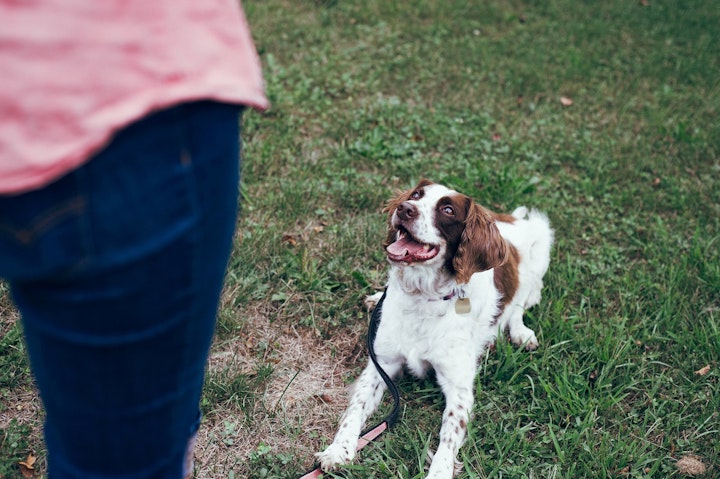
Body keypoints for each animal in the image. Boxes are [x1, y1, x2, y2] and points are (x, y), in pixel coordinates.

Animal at [316, 181, 556, 479]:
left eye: (448, 210)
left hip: (540, 244)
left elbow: (449, 434)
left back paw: (521, 333)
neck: (423, 297)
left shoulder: (459, 386)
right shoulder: (382, 363)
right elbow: (355, 408)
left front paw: (439, 471)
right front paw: (338, 449)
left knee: (521, 303)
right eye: (416, 195)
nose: (404, 208)